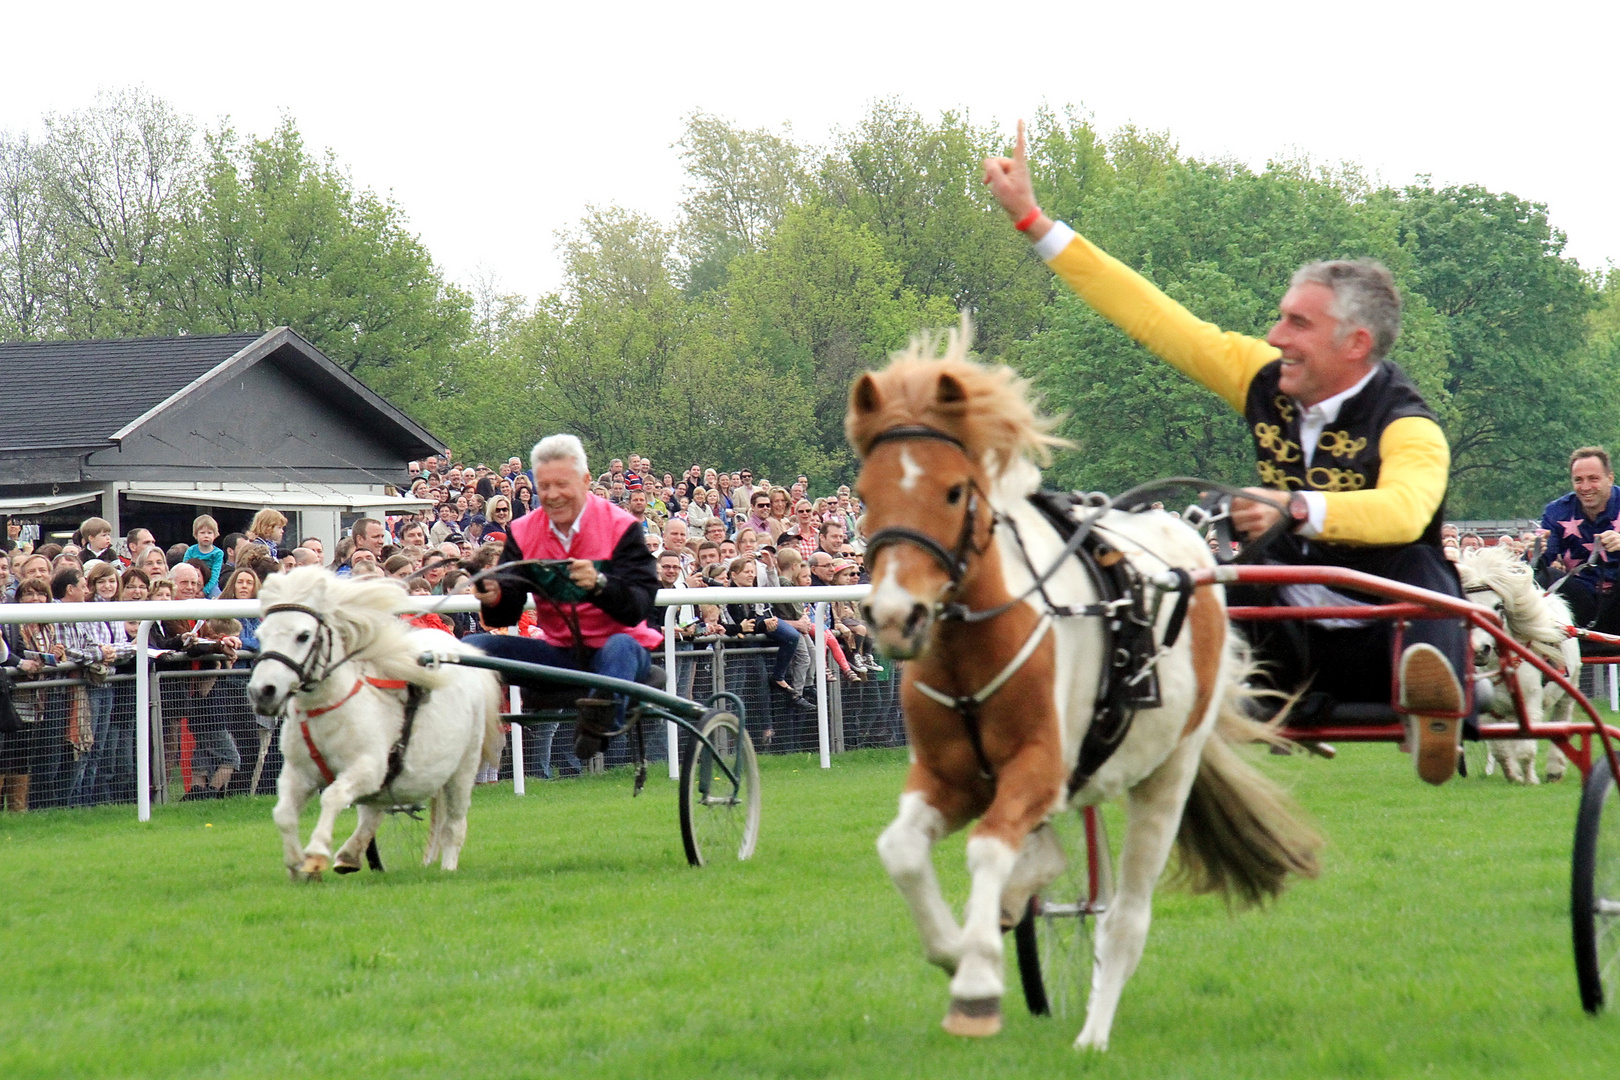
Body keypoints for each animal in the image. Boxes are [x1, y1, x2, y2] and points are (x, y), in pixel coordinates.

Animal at [249, 566, 502, 880]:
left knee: (454, 823)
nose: (262, 691)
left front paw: (316, 853)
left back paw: (447, 866)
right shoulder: (298, 773)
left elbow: (332, 796)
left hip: (464, 767)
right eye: (260, 634)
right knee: (374, 810)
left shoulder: (367, 767)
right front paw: (297, 865)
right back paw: (350, 854)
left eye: (303, 635)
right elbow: (283, 814)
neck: (327, 708)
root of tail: (457, 650)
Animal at [1458, 550, 1568, 786]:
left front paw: (1530, 779)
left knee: (1562, 716)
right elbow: (1500, 750)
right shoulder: (1490, 713)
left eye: (1498, 606)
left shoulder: (1530, 703)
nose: (1479, 650)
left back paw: (1554, 769)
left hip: (1566, 693)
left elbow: (1526, 749)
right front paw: (1514, 775)